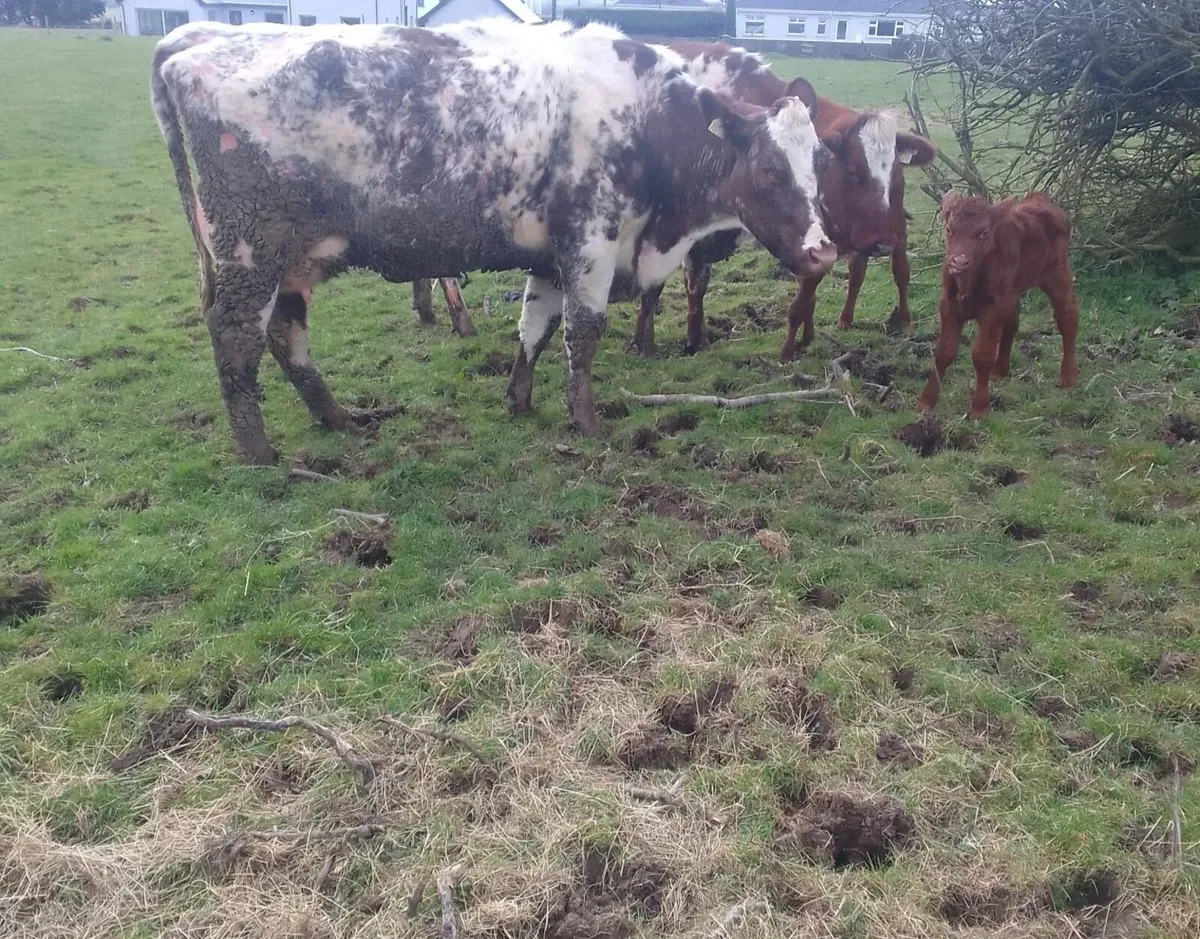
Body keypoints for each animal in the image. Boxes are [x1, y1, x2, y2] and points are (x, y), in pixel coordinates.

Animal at [151, 20, 838, 465]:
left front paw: (520, 400)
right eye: (769, 170)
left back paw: (341, 420)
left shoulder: (552, 257)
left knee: (285, 335)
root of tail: (194, 45)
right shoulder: (591, 244)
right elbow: (582, 334)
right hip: (249, 253)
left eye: (820, 162)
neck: (645, 122)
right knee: (237, 340)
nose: (823, 251)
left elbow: (535, 327)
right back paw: (260, 454)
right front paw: (586, 423)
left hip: (294, 260)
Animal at [627, 41, 936, 361]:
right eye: (853, 172)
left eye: (897, 174)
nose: (884, 242)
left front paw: (697, 341)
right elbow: (657, 287)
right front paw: (645, 344)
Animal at [917, 191, 1079, 419]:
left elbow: (982, 354)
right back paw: (1000, 370)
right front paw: (926, 401)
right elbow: (944, 352)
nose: (959, 262)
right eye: (949, 229)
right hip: (1012, 290)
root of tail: (1039, 198)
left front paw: (980, 408)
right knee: (1013, 320)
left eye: (984, 232)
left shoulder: (991, 309)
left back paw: (1068, 376)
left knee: (1068, 316)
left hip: (1057, 275)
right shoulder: (948, 305)